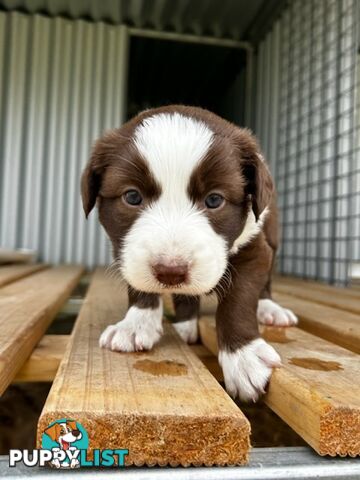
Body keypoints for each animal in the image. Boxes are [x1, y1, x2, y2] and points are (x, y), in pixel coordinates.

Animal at [82, 106, 298, 402]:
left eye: (215, 200)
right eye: (132, 197)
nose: (170, 272)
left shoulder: (255, 250)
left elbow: (238, 301)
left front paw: (244, 356)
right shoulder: (125, 250)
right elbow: (139, 284)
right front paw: (136, 324)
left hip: (272, 234)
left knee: (265, 283)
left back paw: (270, 309)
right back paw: (186, 324)